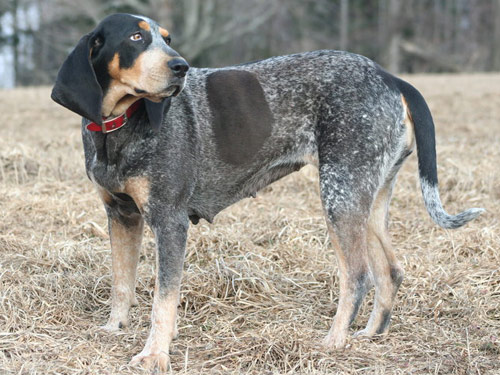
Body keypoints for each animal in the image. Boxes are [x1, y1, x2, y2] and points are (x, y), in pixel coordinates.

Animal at [49, 13, 480, 372]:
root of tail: (390, 77)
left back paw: (333, 342)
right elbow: (121, 282)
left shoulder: (169, 222)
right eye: (137, 37)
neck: (116, 127)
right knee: (388, 272)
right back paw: (369, 336)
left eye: (166, 38)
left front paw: (155, 355)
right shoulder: (121, 215)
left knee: (357, 275)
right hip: (368, 198)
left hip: (339, 193)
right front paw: (114, 328)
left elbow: (163, 300)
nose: (180, 67)